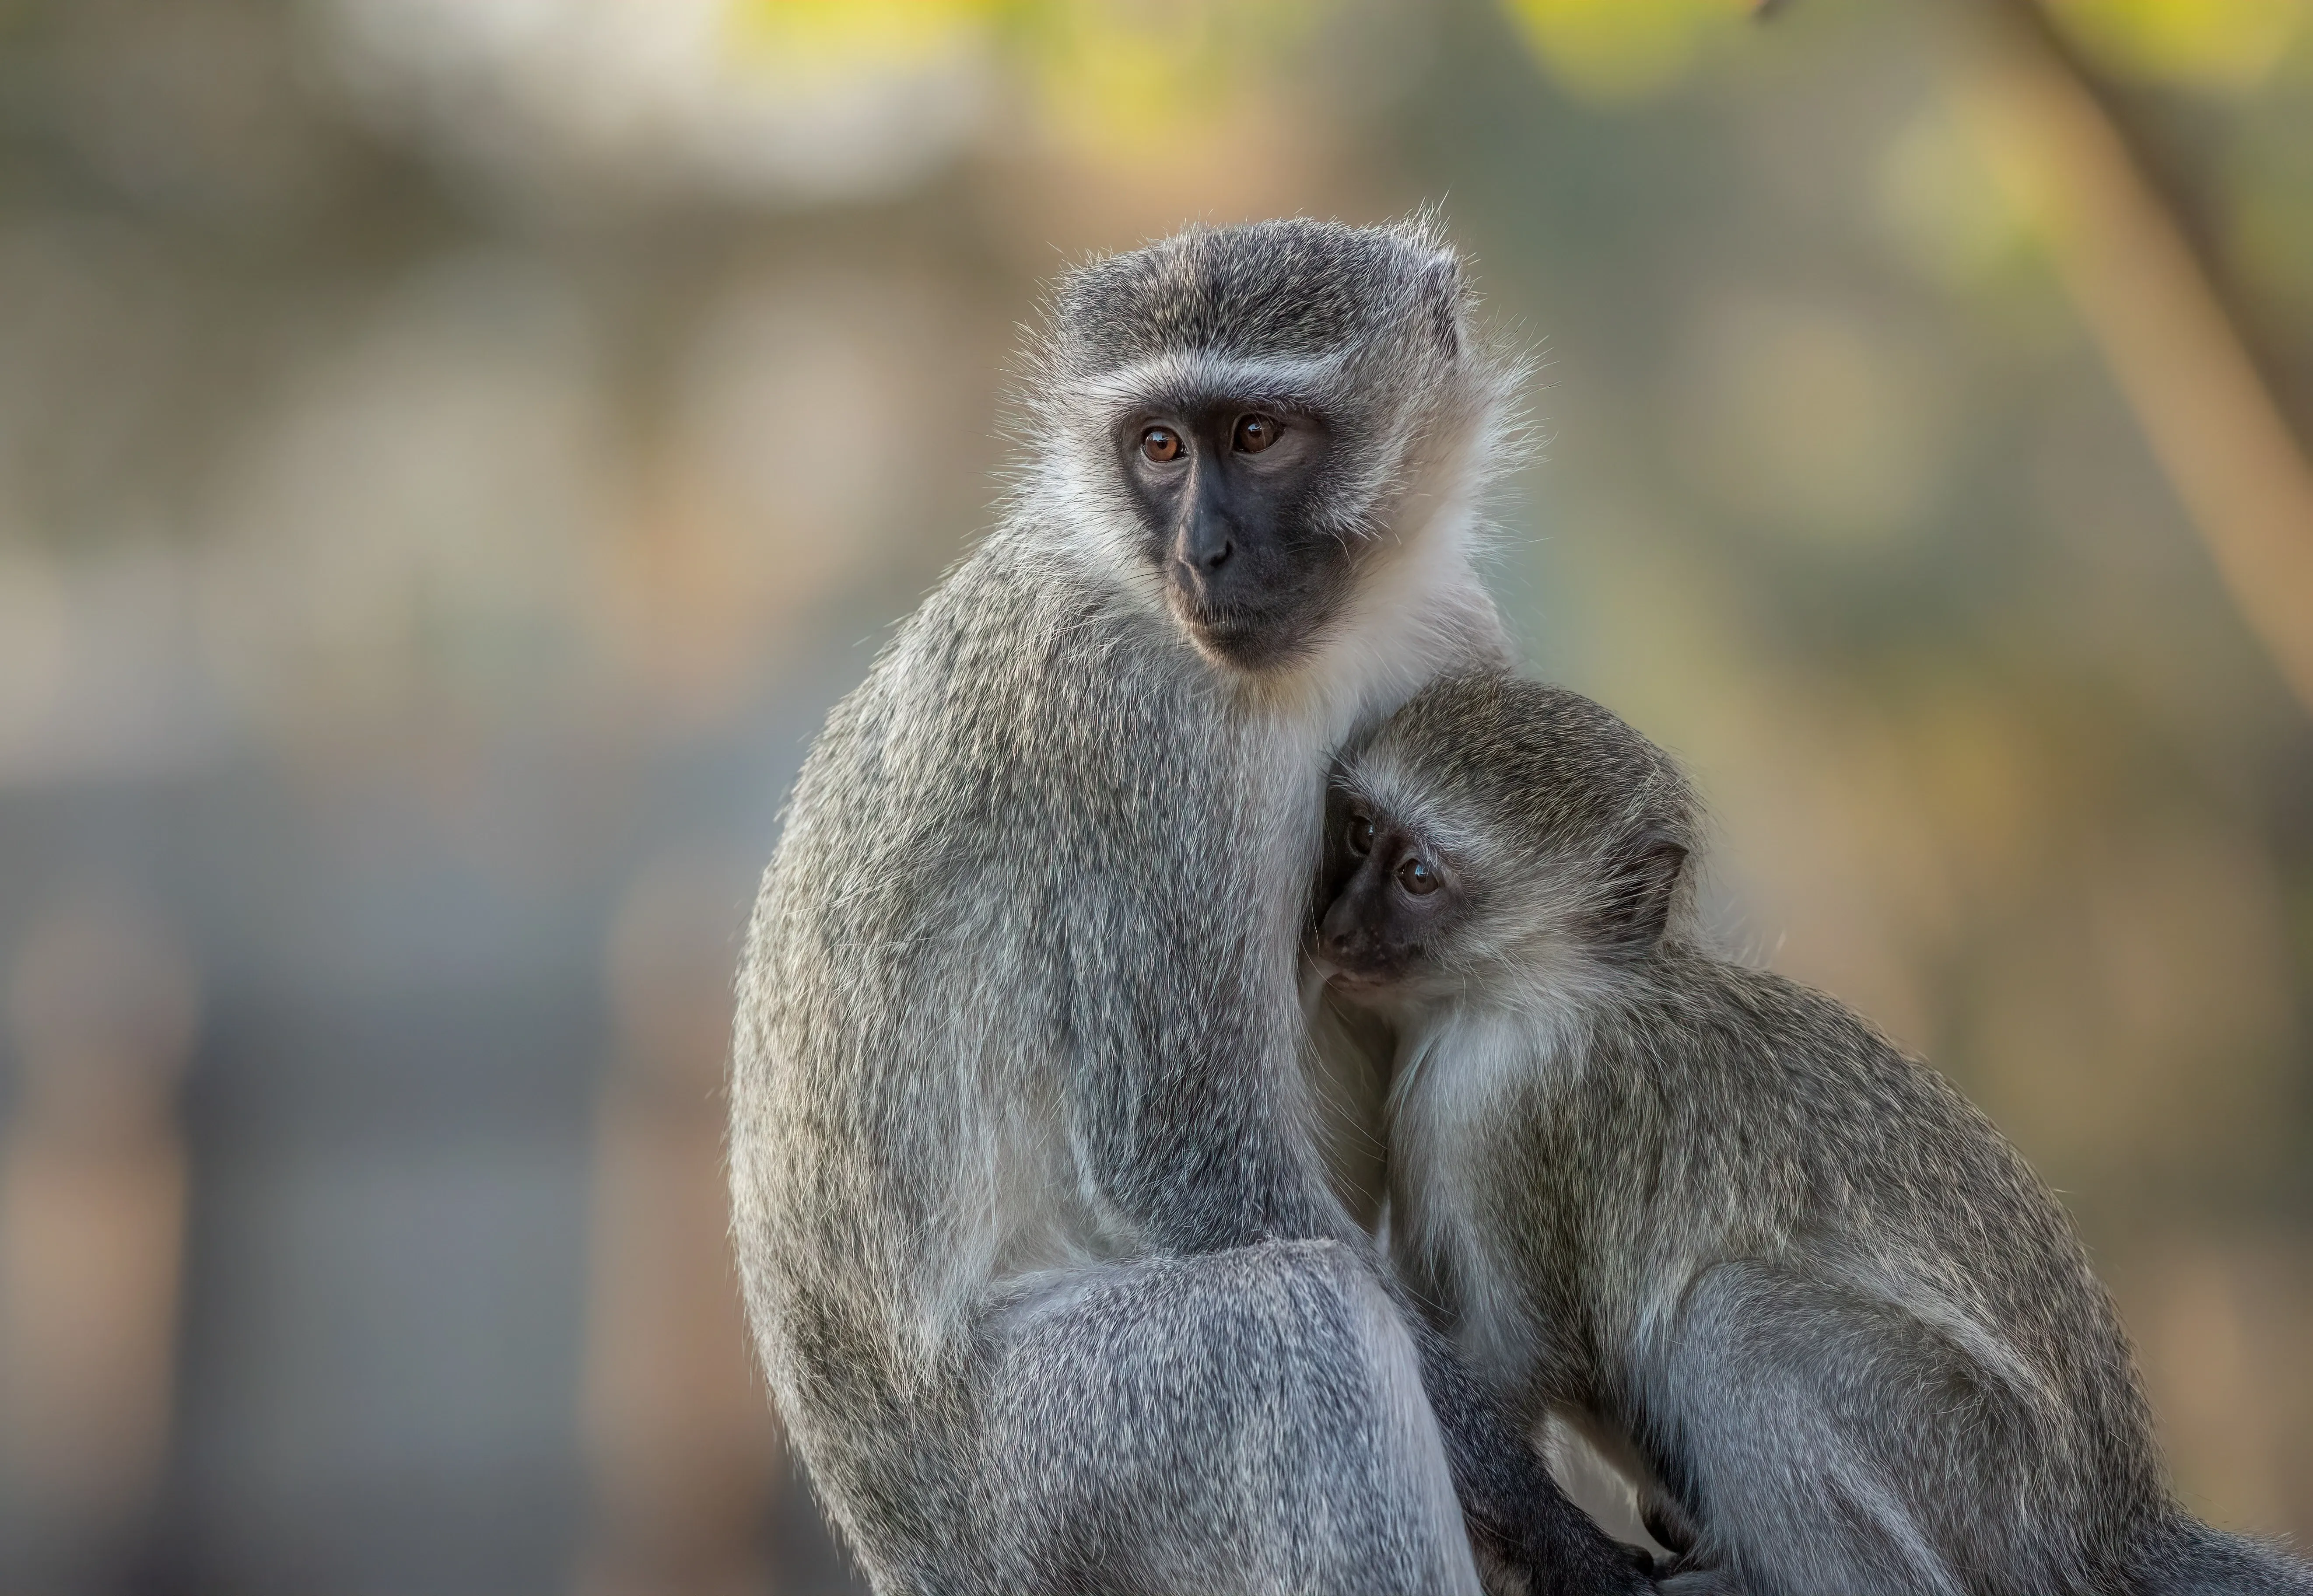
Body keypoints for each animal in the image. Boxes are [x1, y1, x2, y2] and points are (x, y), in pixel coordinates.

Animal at [727, 220, 1660, 1595]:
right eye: (1160, 447)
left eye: (1256, 436)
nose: (1201, 554)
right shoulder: (1124, 728)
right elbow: (1183, 1145)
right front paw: (1553, 1524)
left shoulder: (1454, 641)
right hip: (1051, 1475)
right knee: (1295, 1328)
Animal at [1313, 670, 2313, 1596]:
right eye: (1360, 835)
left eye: (1416, 877)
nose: (1334, 928)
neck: (1531, 991)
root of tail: (2113, 1524)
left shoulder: (1510, 1116)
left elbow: (1521, 1355)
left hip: (1978, 1474)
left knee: (1738, 1319)